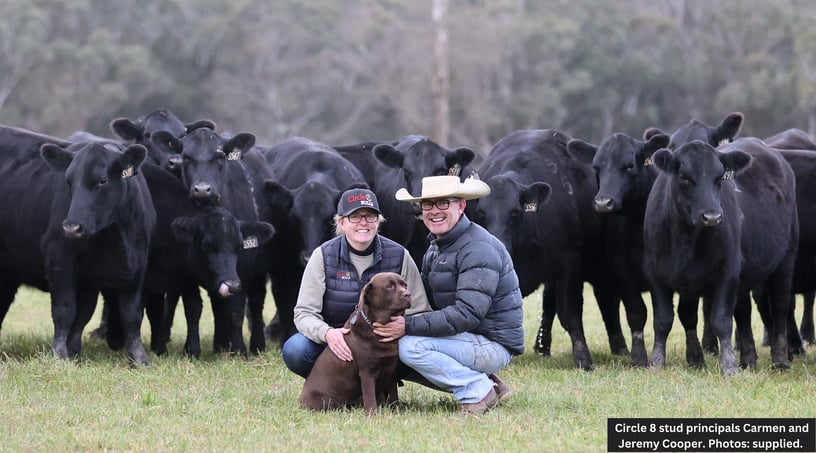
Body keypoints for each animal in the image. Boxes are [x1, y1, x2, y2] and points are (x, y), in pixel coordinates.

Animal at [300, 270, 412, 414]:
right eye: (389, 286)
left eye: (405, 285)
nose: (408, 294)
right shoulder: (367, 372)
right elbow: (370, 397)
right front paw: (372, 414)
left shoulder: (392, 370)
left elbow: (393, 394)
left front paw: (395, 409)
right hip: (324, 401)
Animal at [468, 129, 628, 370]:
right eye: (481, 212)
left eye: (516, 211)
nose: (499, 245)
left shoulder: (568, 264)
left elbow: (570, 313)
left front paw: (583, 358)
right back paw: (542, 346)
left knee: (605, 301)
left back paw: (620, 348)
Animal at [644, 139, 796, 374]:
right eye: (685, 178)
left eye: (719, 178)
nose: (712, 216)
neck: (685, 239)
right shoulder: (658, 275)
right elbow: (666, 319)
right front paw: (660, 362)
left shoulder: (728, 272)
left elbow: (721, 320)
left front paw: (729, 366)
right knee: (743, 313)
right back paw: (748, 360)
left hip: (784, 262)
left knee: (779, 307)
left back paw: (780, 360)